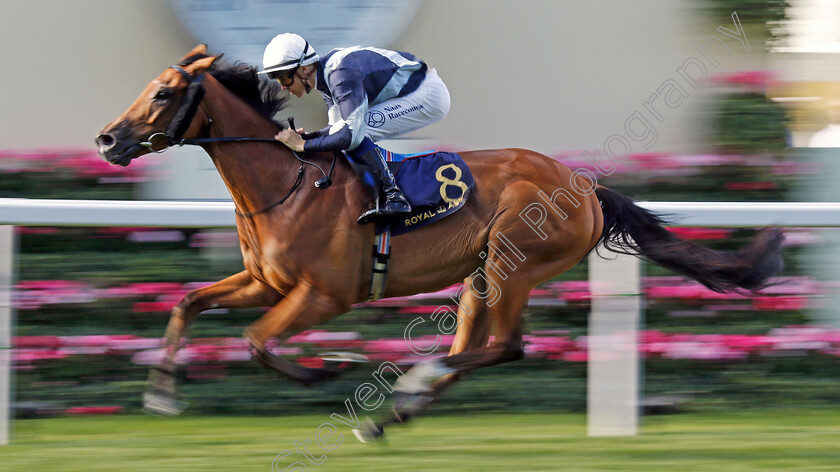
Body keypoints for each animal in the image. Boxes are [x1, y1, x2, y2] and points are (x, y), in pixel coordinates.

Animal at [95, 46, 784, 440]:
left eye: (163, 93)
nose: (106, 139)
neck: (286, 183)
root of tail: (585, 186)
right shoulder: (266, 282)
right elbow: (188, 302)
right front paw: (160, 392)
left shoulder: (325, 295)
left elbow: (257, 341)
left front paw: (323, 369)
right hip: (482, 273)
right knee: (477, 346)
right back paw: (393, 414)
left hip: (512, 264)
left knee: (505, 348)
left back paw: (410, 384)